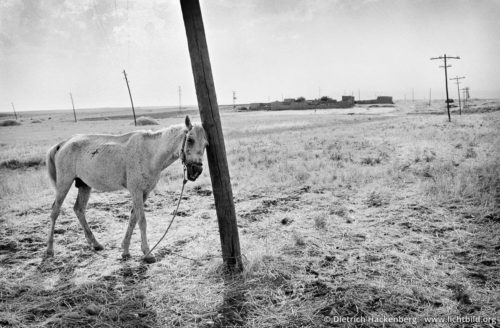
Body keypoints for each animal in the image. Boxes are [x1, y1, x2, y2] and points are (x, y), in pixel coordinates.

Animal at [44, 115, 206, 262]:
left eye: (206, 144)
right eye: (190, 140)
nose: (196, 171)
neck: (150, 153)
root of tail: (63, 144)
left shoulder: (144, 192)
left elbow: (133, 218)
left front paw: (126, 250)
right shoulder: (136, 191)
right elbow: (142, 220)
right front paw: (147, 253)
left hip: (84, 185)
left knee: (79, 209)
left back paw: (95, 243)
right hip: (64, 183)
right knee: (55, 211)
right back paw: (50, 249)